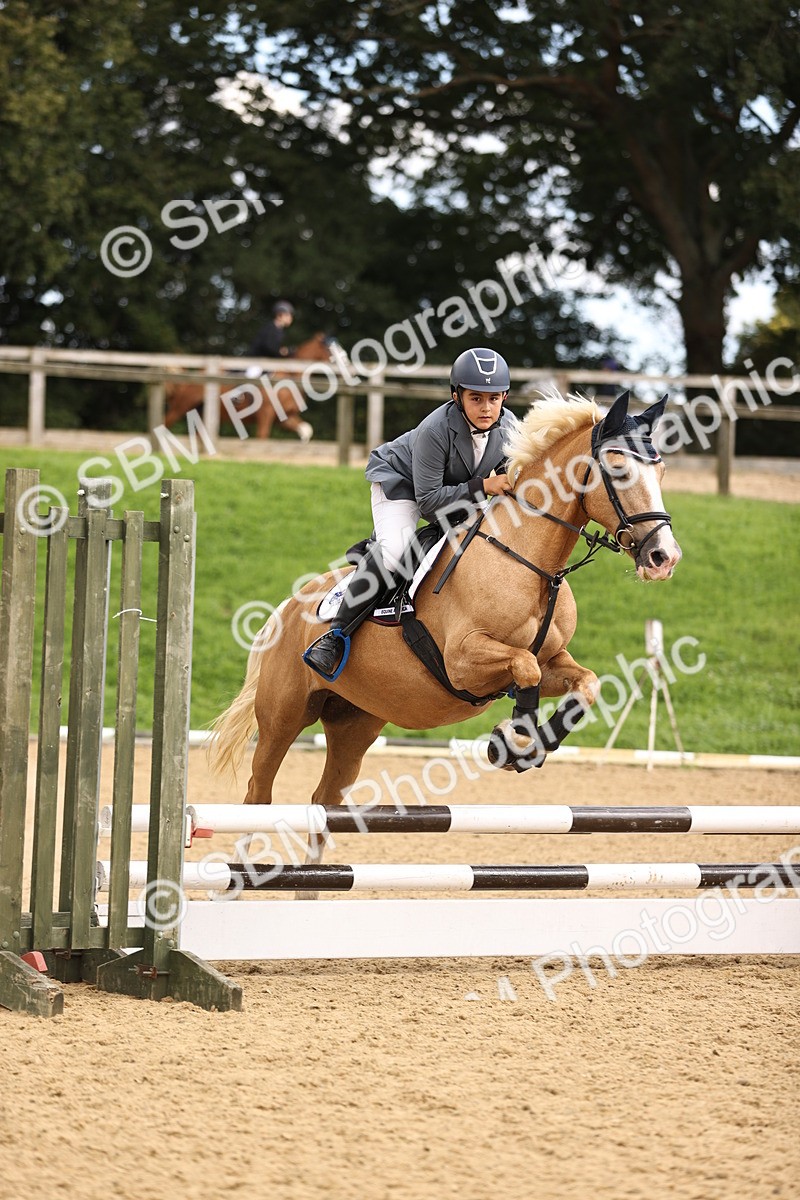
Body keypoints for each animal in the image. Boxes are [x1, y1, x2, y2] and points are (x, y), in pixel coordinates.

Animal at [162, 332, 337, 441]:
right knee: (165, 423)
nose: (342, 364)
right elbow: (262, 437)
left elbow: (306, 430)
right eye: (331, 350)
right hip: (181, 407)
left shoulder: (286, 417)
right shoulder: (265, 414)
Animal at [209, 390, 682, 806]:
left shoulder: (552, 659)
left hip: (355, 721)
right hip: (283, 717)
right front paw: (514, 740)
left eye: (661, 473)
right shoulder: (463, 661)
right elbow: (524, 667)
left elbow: (586, 683)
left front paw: (525, 744)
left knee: (324, 799)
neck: (529, 560)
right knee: (258, 792)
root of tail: (286, 608)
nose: (664, 557)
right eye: (618, 469)